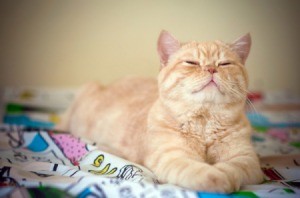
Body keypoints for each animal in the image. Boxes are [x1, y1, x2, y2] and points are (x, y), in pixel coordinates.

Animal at [55, 30, 262, 192]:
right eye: (191, 63)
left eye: (225, 64)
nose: (211, 69)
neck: (205, 121)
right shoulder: (173, 157)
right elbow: (202, 172)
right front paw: (217, 178)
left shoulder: (248, 160)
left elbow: (232, 168)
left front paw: (226, 175)